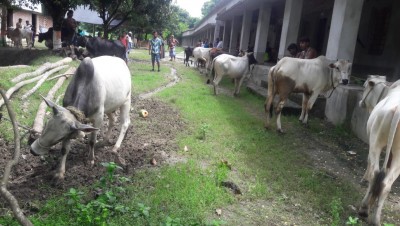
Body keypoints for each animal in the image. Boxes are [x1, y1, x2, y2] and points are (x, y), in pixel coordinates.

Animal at [358, 84, 400, 225]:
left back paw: (364, 209)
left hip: (376, 141)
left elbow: (368, 160)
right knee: (386, 183)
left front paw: (364, 179)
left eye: (365, 86)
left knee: (375, 173)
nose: (360, 102)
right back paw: (376, 219)